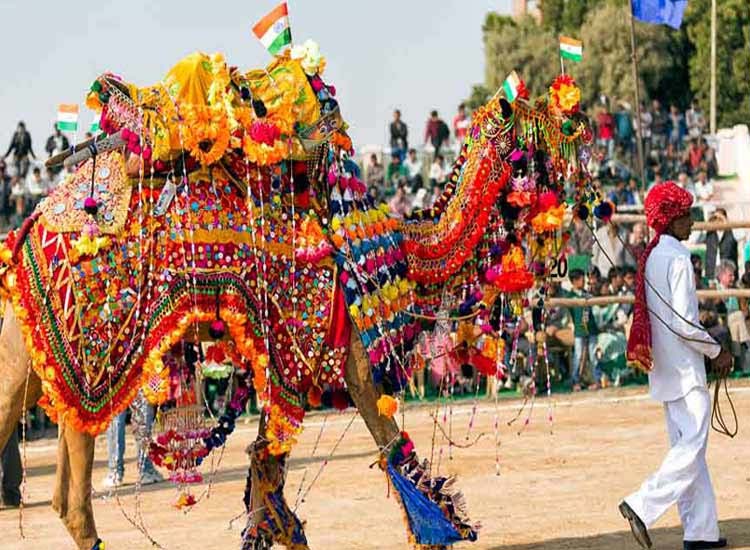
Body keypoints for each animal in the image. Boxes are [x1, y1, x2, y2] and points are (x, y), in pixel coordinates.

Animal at [0, 38, 596, 550]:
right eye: (538, 126)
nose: (581, 123)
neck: (404, 247)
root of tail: (29, 227)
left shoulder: (288, 358)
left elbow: (267, 459)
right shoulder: (345, 353)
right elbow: (390, 442)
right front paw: (443, 529)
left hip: (40, 353)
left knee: (55, 479)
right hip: (90, 350)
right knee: (72, 481)